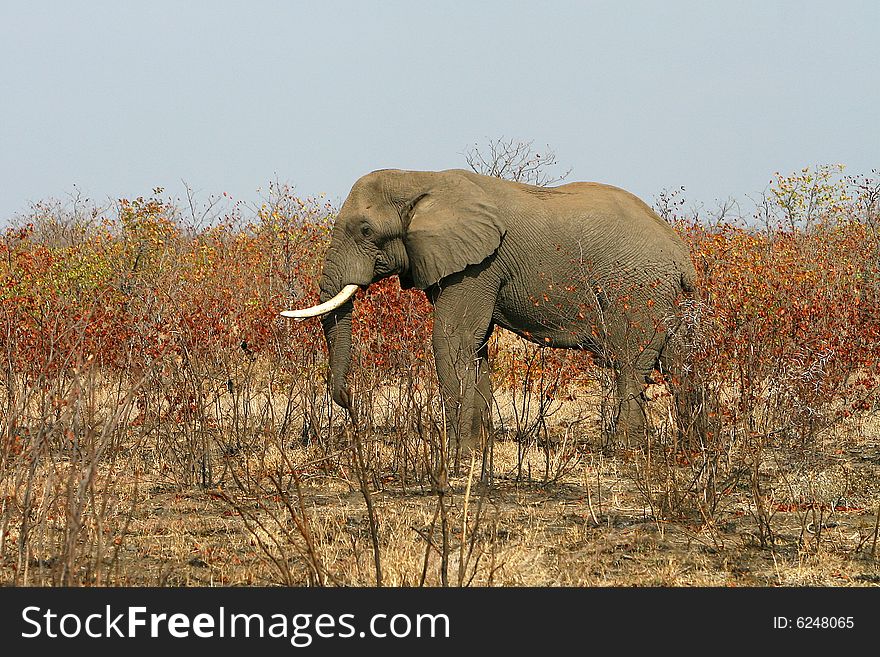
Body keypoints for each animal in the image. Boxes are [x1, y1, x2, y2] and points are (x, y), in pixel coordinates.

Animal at [286, 169, 696, 454]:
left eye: (366, 231)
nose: (350, 406)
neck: (422, 179)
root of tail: (681, 253)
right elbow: (476, 344)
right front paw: (479, 449)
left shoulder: (479, 264)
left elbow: (452, 340)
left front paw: (458, 454)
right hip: (667, 295)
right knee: (679, 363)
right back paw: (692, 444)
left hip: (637, 288)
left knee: (629, 361)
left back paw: (625, 449)